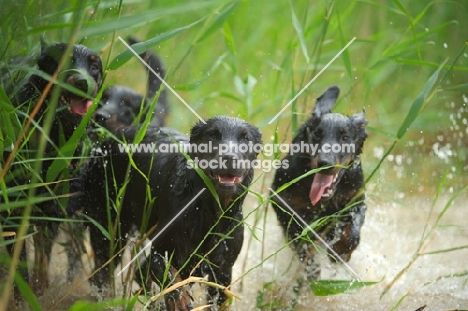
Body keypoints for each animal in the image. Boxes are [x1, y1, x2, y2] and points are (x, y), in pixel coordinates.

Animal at [67, 116, 262, 310]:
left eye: (246, 138)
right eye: (212, 135)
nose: (229, 158)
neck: (207, 210)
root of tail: (103, 143)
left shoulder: (223, 269)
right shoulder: (162, 247)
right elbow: (165, 272)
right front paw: (179, 299)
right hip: (109, 228)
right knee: (101, 274)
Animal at [272, 86, 368, 282]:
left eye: (345, 137)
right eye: (317, 133)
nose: (325, 163)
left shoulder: (356, 199)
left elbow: (353, 230)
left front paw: (341, 251)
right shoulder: (282, 202)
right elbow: (300, 240)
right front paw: (312, 269)